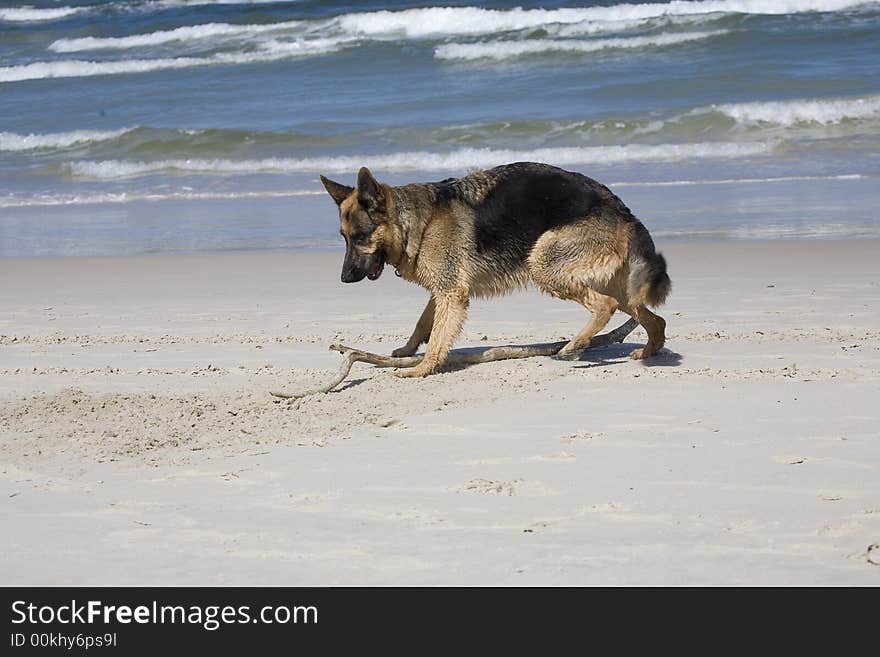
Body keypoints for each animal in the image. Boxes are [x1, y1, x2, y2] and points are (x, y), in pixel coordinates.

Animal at [320, 161, 672, 376]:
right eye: (344, 238)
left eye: (360, 237)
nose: (344, 278)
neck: (418, 223)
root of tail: (619, 207)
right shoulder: (444, 291)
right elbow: (424, 323)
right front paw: (408, 349)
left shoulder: (451, 293)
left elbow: (437, 337)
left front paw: (422, 368)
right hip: (615, 285)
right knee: (655, 319)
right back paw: (648, 350)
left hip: (543, 264)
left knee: (605, 305)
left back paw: (575, 345)